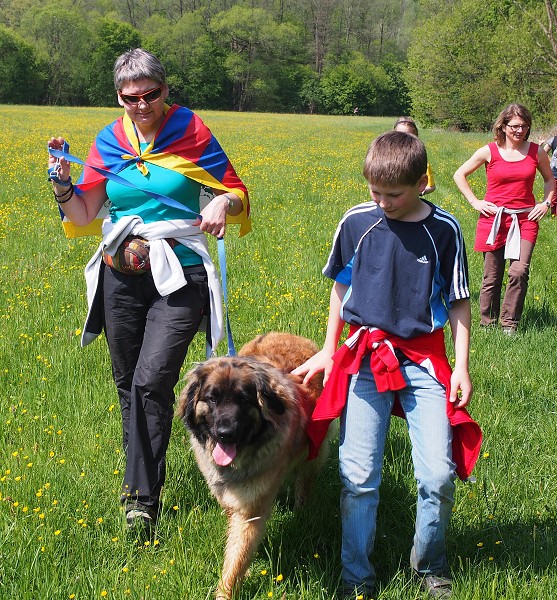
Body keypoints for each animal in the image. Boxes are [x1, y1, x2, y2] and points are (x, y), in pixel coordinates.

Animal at [177, 332, 326, 600]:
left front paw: (226, 591)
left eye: (243, 400)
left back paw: (301, 510)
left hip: (314, 450)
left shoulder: (249, 509)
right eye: (212, 399)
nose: (225, 433)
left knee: (304, 481)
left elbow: (237, 557)